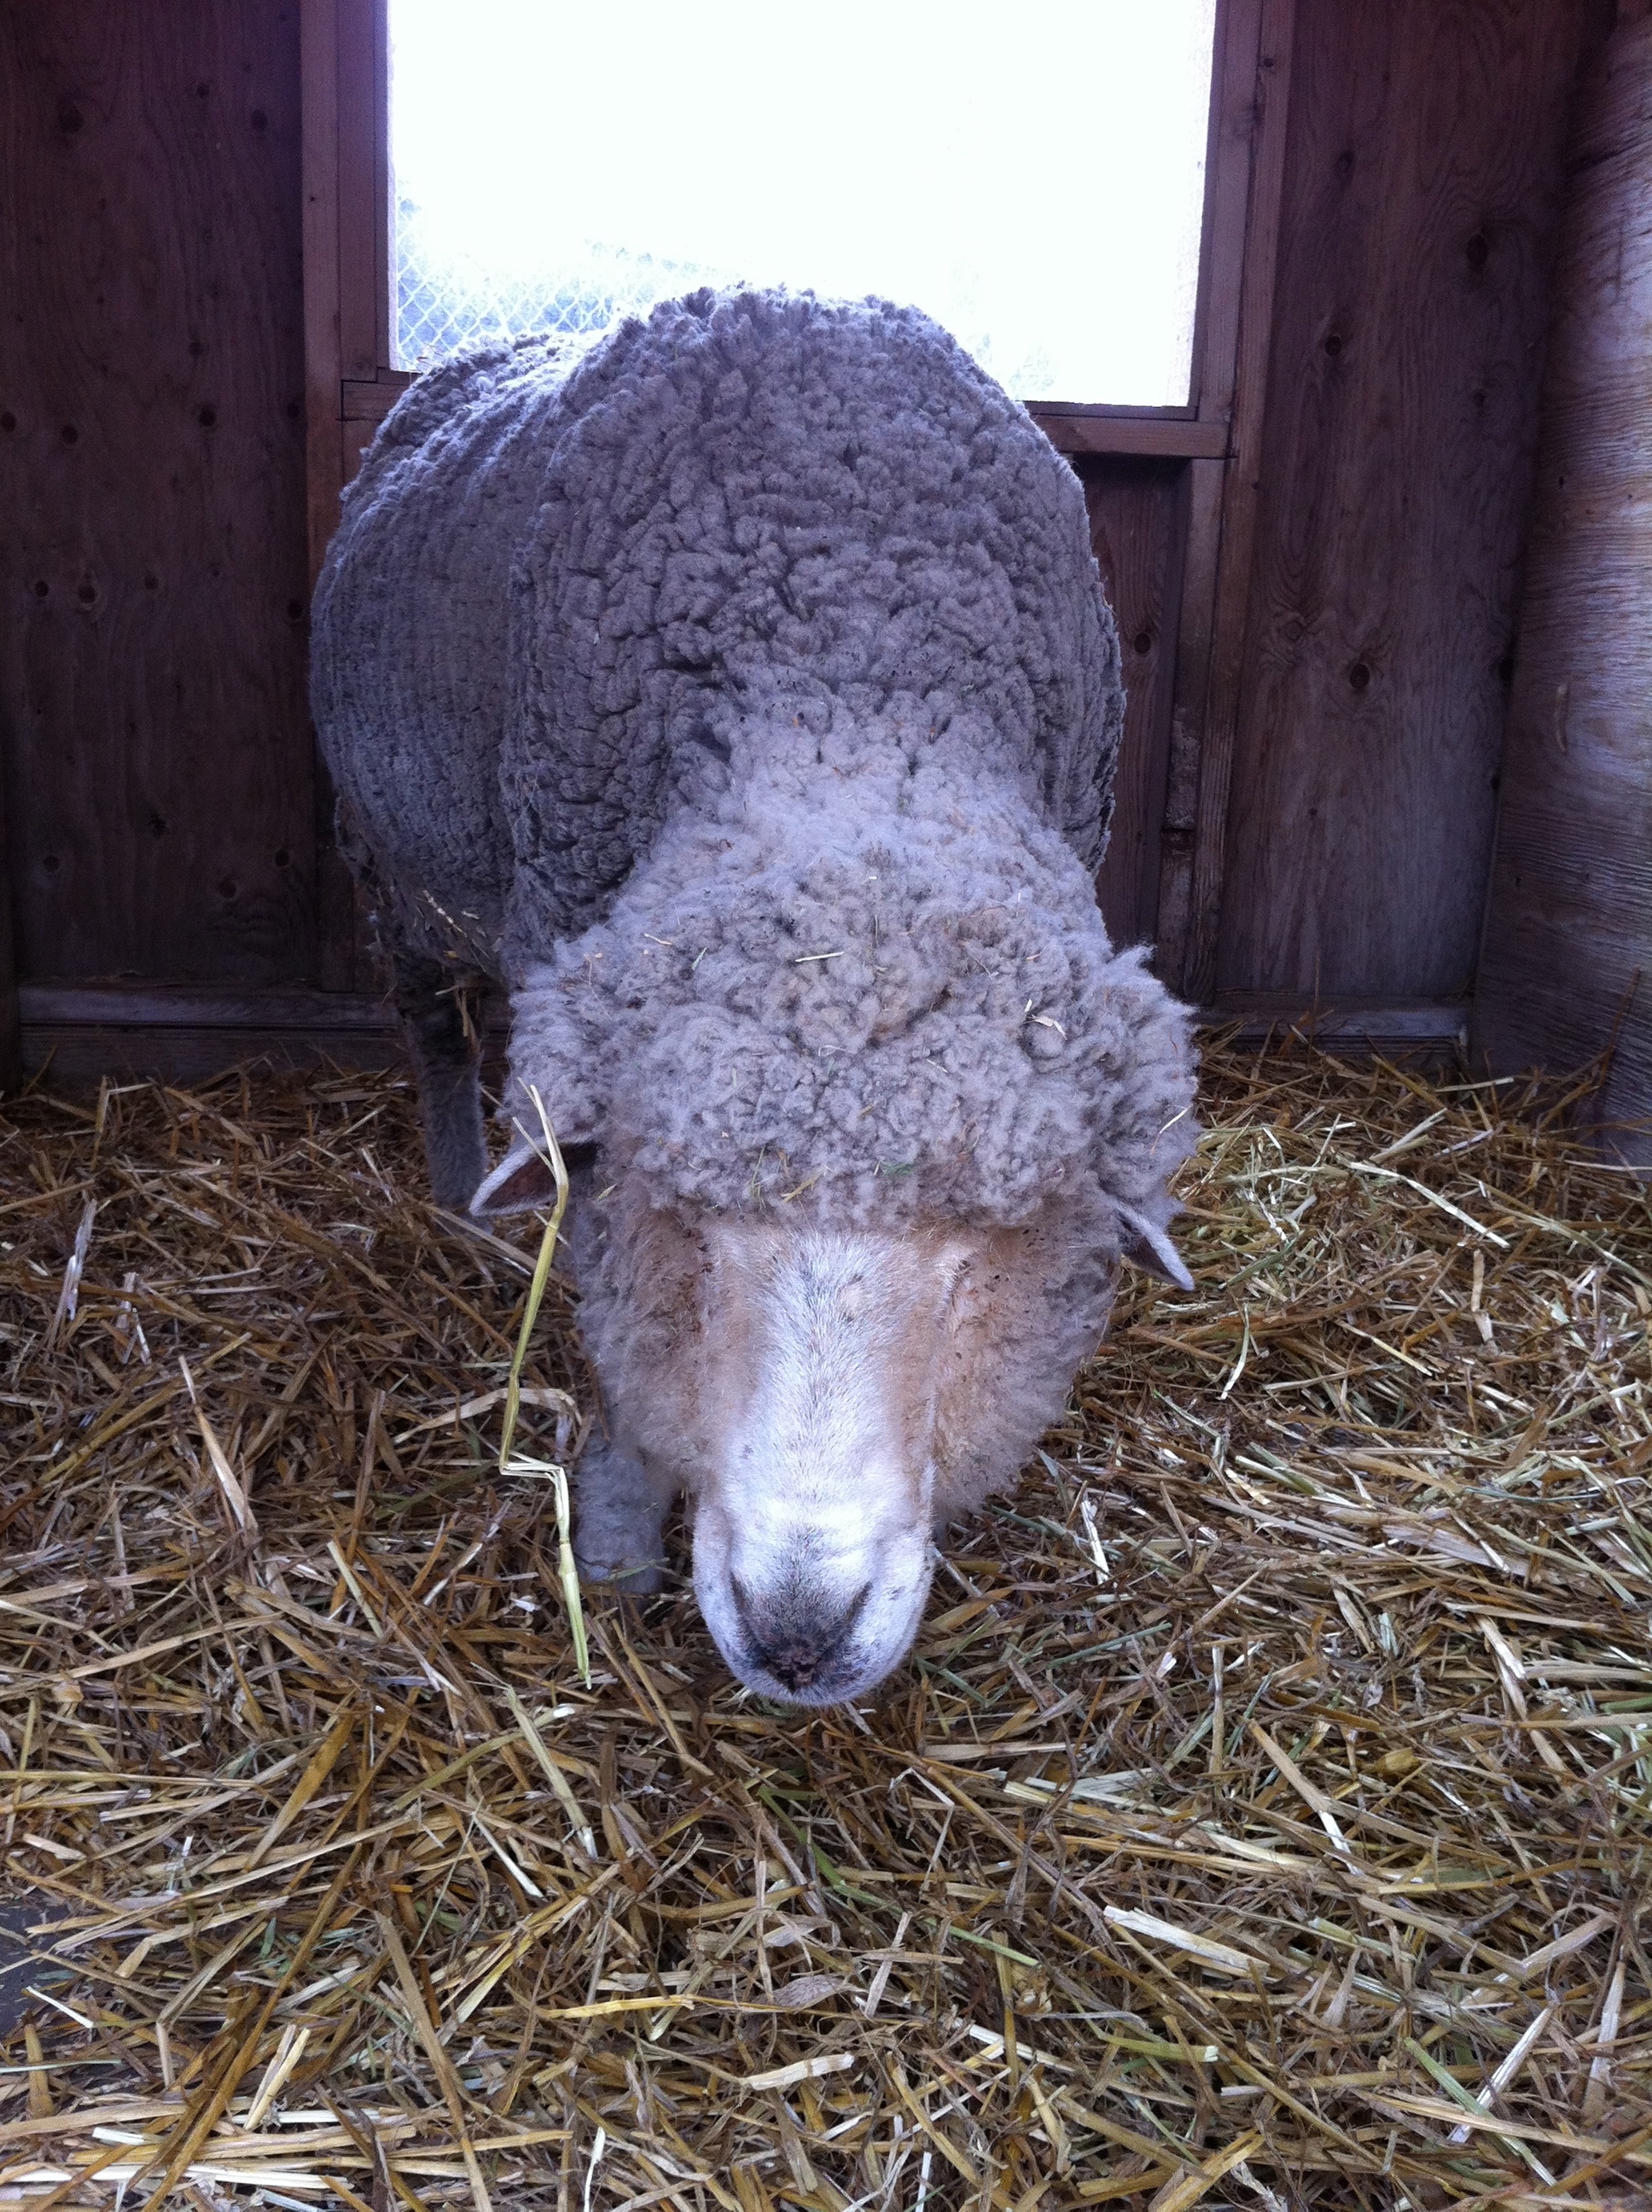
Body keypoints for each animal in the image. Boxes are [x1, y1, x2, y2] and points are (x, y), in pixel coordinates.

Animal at [311, 289, 1197, 1707]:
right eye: (696, 1243)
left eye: (976, 1263)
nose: (798, 1635)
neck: (849, 656)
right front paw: (617, 1533)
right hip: (390, 869)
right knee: (434, 1027)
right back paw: (460, 1199)